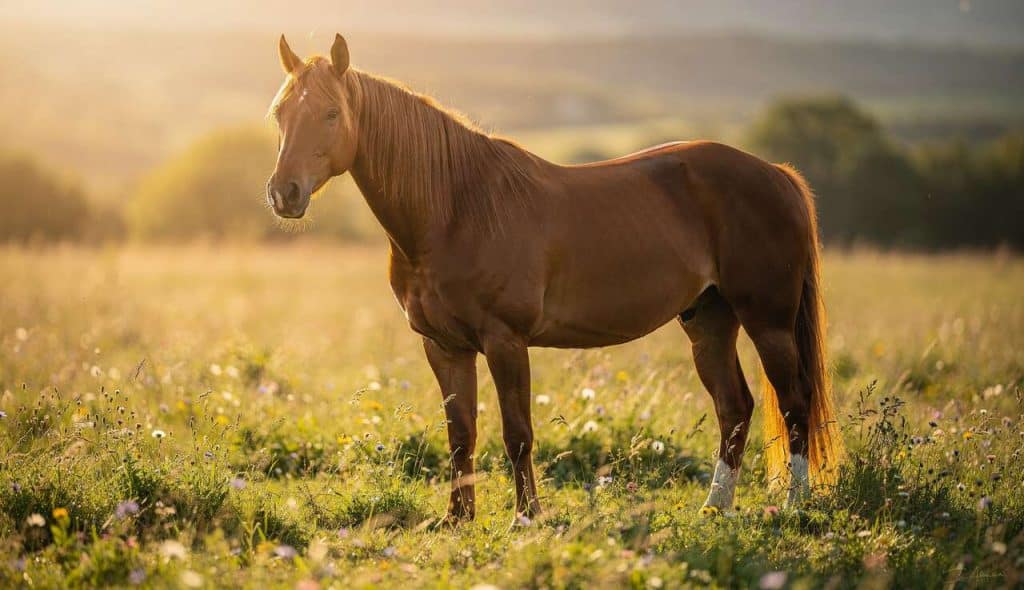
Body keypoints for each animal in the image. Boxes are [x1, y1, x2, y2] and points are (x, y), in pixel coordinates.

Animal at [266, 34, 843, 522]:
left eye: (331, 113)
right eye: (280, 114)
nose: (284, 193)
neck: (456, 209)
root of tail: (777, 174)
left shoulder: (505, 341)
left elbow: (516, 433)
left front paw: (527, 517)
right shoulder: (444, 346)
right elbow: (461, 433)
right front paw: (457, 519)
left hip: (768, 321)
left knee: (794, 404)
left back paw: (795, 506)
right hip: (709, 320)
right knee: (735, 407)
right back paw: (715, 508)